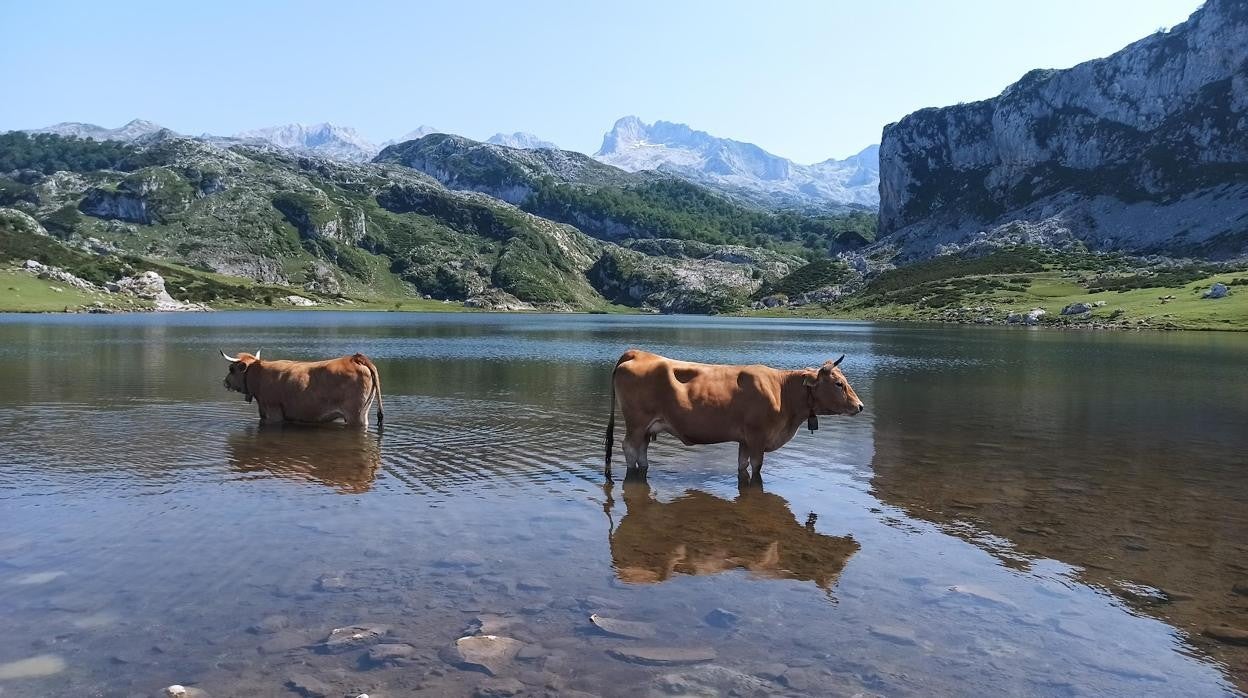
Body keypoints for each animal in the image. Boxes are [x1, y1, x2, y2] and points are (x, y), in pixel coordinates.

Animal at [601, 349, 858, 486]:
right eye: (838, 383)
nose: (860, 406)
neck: (782, 390)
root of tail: (637, 353)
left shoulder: (744, 439)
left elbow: (742, 465)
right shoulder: (757, 436)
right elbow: (757, 467)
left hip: (647, 427)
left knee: (641, 452)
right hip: (636, 423)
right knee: (629, 448)